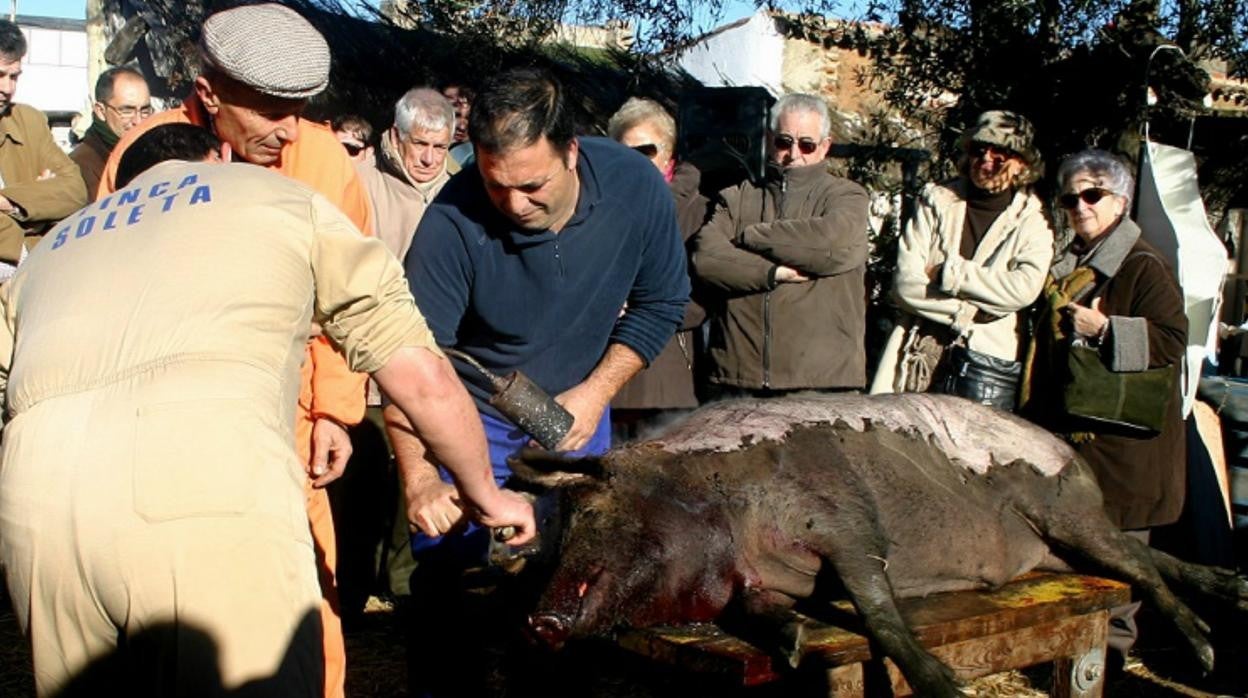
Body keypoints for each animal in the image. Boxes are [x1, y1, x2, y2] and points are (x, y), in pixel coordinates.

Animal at [514, 394, 1248, 698]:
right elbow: (761, 612)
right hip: (1058, 547)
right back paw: (1234, 590)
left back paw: (1210, 654)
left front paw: (948, 689)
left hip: (1063, 511)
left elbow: (876, 607)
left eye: (590, 506)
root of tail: (1067, 448)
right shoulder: (755, 580)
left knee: (1142, 568)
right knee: (1151, 558)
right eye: (562, 520)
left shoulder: (844, 520)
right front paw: (794, 643)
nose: (539, 620)